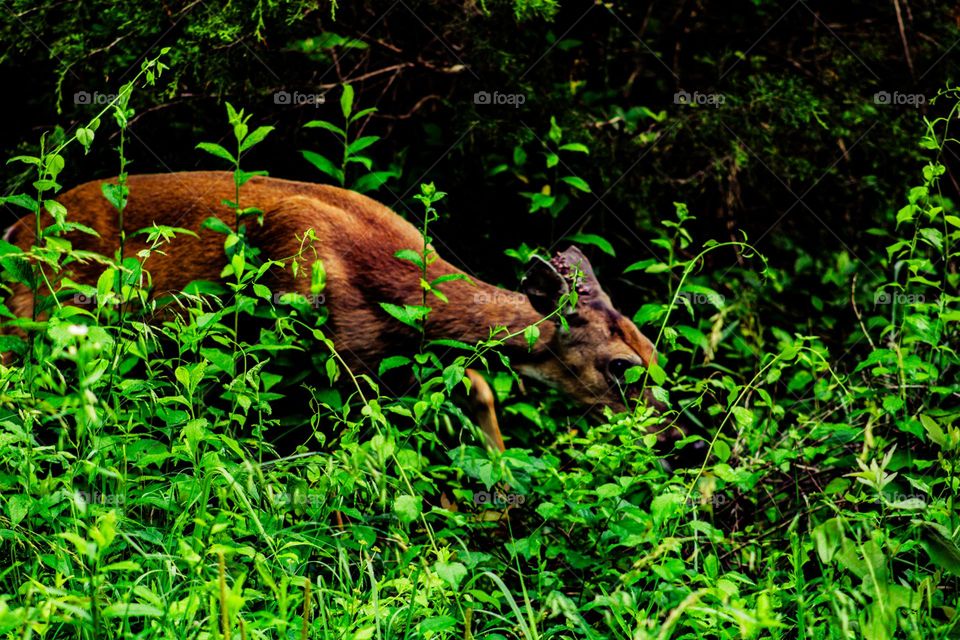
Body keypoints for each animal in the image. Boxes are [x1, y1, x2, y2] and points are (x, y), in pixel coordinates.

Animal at [3, 171, 682, 453]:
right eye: (622, 366)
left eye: (654, 351)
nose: (671, 434)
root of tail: (16, 231)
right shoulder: (332, 344)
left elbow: (479, 386)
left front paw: (501, 479)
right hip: (47, 314)